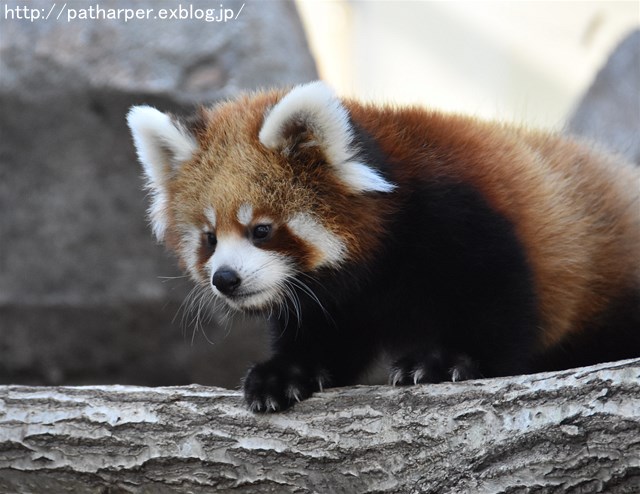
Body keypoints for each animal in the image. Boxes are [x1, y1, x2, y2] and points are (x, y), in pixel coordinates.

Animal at [126, 81, 640, 412]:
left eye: (262, 230)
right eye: (210, 238)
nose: (225, 279)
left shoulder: (467, 220)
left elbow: (500, 308)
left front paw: (446, 361)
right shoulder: (339, 301)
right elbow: (324, 339)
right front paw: (285, 374)